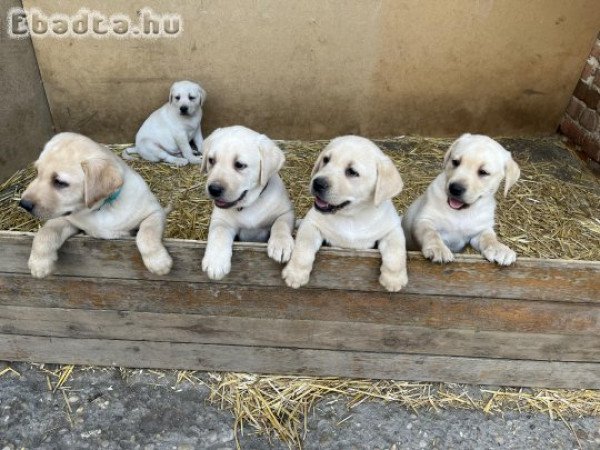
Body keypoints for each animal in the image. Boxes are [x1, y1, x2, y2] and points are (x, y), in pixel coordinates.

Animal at [19, 132, 172, 278]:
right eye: (37, 172)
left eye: (60, 182)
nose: (23, 204)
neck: (101, 208)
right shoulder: (67, 220)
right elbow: (45, 232)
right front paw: (39, 263)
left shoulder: (154, 212)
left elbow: (147, 233)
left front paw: (158, 262)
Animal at [202, 125, 296, 280]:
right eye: (211, 160)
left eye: (239, 165)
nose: (214, 189)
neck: (249, 204)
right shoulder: (221, 220)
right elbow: (219, 232)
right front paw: (215, 261)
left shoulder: (286, 212)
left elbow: (280, 224)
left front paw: (281, 244)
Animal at [282, 136, 408, 292]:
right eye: (326, 160)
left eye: (352, 172)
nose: (317, 183)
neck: (351, 216)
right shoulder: (311, 224)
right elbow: (303, 246)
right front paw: (295, 274)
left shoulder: (392, 229)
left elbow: (396, 251)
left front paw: (394, 279)